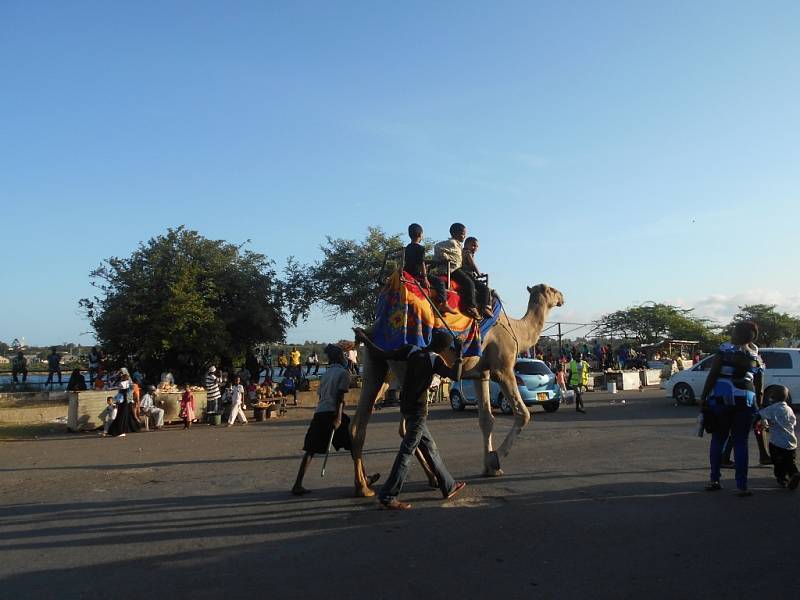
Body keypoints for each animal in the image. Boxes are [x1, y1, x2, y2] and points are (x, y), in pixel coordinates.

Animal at [348, 284, 564, 500]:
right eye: (552, 290)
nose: (562, 297)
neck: (516, 330)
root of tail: (372, 331)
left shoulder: (481, 374)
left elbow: (486, 420)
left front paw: (490, 468)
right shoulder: (502, 370)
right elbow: (522, 414)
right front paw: (495, 459)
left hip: (377, 367)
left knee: (359, 423)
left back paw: (365, 485)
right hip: (407, 369)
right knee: (410, 424)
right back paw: (431, 480)